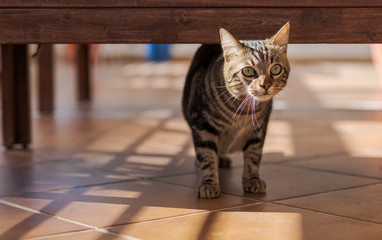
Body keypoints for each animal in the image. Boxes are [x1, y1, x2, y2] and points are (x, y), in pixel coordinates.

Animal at [182, 23, 290, 199]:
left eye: (275, 69)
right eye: (248, 71)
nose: (266, 85)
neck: (243, 112)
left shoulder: (258, 130)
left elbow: (254, 155)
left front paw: (252, 180)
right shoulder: (202, 126)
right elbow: (207, 157)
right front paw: (209, 184)